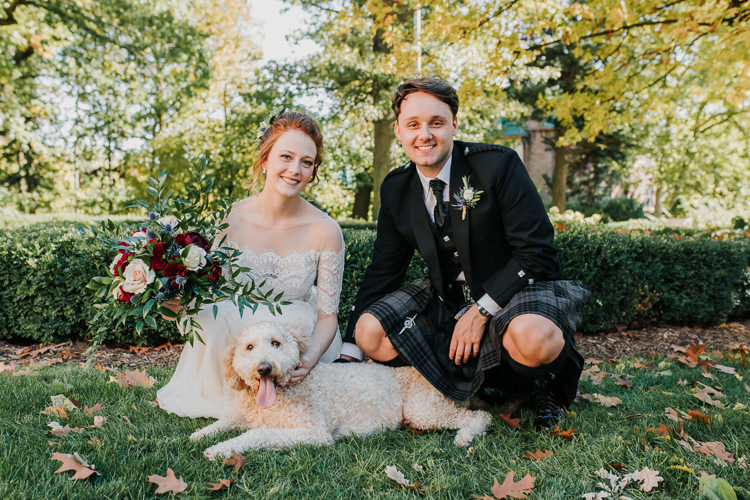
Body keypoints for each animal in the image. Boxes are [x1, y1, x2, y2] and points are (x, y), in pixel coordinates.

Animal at [191, 322, 494, 458]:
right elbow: (224, 421)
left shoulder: (313, 432)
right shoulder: (244, 414)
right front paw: (200, 435)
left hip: (422, 410)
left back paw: (466, 436)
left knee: (480, 417)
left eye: (276, 343)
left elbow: (258, 435)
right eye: (249, 347)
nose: (264, 368)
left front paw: (221, 449)